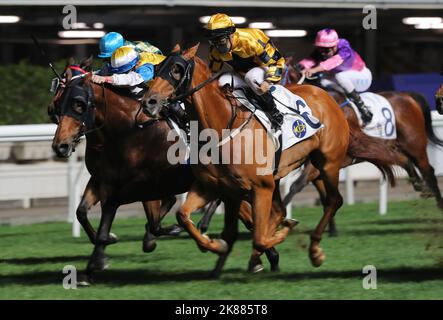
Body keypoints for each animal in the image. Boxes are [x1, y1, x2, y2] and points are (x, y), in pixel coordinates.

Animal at [144, 43, 398, 276]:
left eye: (177, 69)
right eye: (158, 67)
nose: (149, 102)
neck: (222, 125)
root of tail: (326, 96)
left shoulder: (260, 187)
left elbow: (258, 236)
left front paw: (279, 237)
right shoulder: (214, 187)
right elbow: (185, 216)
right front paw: (215, 245)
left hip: (327, 162)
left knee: (333, 201)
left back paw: (314, 250)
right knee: (281, 210)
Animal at [284, 62, 443, 219]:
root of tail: (408, 95)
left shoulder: (323, 161)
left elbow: (297, 185)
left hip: (415, 144)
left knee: (427, 169)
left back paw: (437, 201)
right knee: (408, 162)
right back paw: (421, 187)